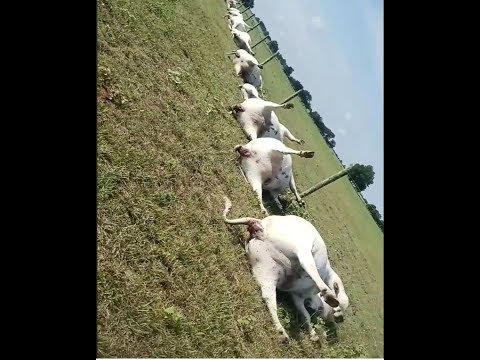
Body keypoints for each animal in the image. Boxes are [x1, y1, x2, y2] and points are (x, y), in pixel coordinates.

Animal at [221, 197, 348, 340]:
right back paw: (328, 295)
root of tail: (261, 225)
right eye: (339, 310)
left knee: (268, 297)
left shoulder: (297, 296)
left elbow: (305, 315)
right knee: (308, 265)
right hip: (301, 247)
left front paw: (313, 334)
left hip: (265, 269)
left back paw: (281, 332)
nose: (338, 319)